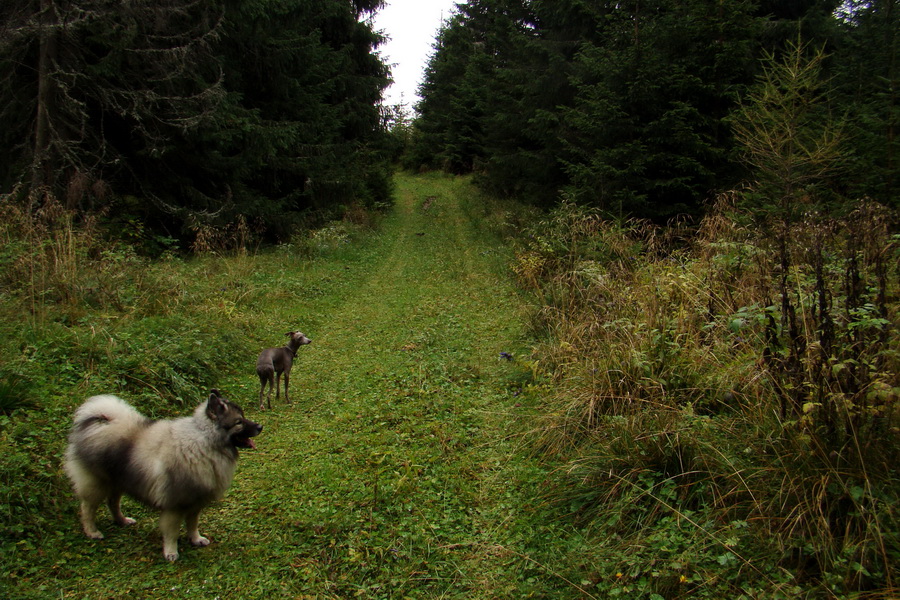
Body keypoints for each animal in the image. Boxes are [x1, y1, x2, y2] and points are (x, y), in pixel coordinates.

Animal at [62, 392, 260, 560]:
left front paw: (195, 539)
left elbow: (192, 524)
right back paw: (92, 532)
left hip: (118, 481)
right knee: (87, 508)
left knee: (113, 503)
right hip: (97, 483)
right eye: (239, 422)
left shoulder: (195, 502)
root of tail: (98, 422)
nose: (260, 426)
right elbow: (172, 531)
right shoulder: (175, 505)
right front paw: (171, 552)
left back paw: (122, 521)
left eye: (243, 417)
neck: (204, 442)